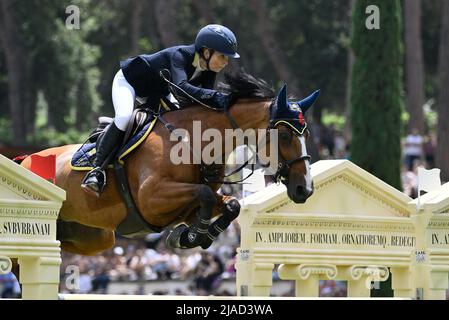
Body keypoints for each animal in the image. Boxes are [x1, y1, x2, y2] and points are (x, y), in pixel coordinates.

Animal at [18, 73, 318, 258]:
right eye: (285, 135)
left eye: (306, 134)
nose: (304, 189)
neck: (193, 140)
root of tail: (24, 159)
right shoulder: (152, 199)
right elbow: (205, 194)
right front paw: (191, 236)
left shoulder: (187, 206)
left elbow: (229, 204)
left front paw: (192, 237)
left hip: (91, 237)